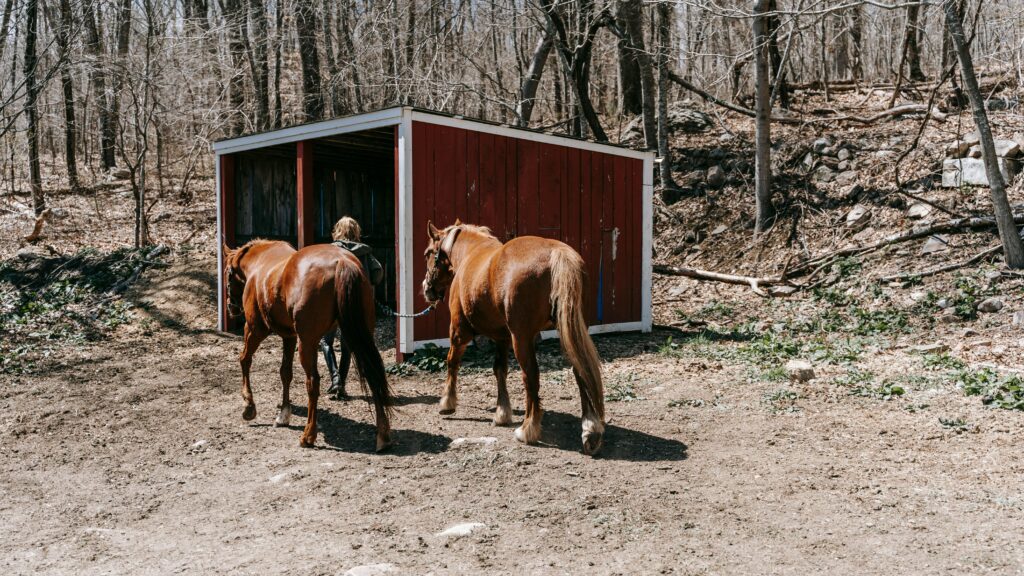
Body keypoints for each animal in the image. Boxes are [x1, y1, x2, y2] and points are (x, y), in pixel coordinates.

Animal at [222, 239, 393, 451]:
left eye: (227, 273)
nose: (231, 307)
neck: (259, 263)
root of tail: (342, 262)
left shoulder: (255, 329)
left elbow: (244, 360)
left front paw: (249, 406)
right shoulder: (289, 336)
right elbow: (285, 372)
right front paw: (283, 414)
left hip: (308, 343)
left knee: (313, 382)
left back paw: (309, 435)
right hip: (360, 335)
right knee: (372, 374)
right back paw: (383, 435)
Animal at [421, 220, 606, 455]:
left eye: (428, 253)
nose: (427, 288)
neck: (470, 253)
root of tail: (557, 252)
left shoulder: (459, 331)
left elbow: (452, 362)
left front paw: (447, 403)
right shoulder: (502, 338)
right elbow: (500, 370)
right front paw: (502, 412)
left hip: (522, 338)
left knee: (531, 376)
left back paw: (528, 429)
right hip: (570, 331)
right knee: (580, 371)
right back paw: (590, 430)